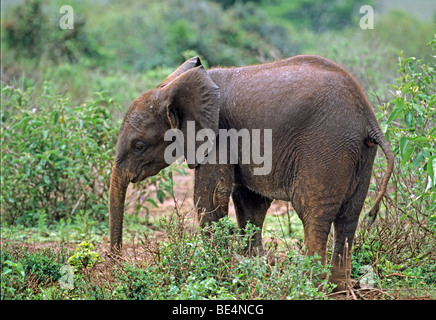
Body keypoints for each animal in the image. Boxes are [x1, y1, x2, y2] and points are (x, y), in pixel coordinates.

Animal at [109, 55, 396, 290]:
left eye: (139, 146)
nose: (117, 265)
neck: (172, 87)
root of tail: (369, 118)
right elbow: (249, 204)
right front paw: (253, 269)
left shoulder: (218, 135)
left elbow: (210, 199)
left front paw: (219, 274)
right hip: (361, 153)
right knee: (349, 217)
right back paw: (339, 287)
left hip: (327, 146)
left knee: (313, 214)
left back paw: (312, 285)